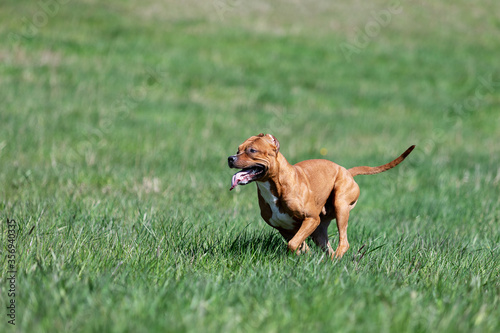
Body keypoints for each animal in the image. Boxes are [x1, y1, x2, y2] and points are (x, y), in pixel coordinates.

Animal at [228, 134, 414, 258]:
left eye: (252, 150)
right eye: (238, 149)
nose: (230, 158)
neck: (275, 185)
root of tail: (347, 171)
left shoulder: (311, 219)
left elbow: (294, 244)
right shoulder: (285, 228)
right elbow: (297, 244)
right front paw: (305, 257)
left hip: (341, 205)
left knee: (344, 242)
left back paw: (337, 259)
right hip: (320, 230)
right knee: (327, 247)